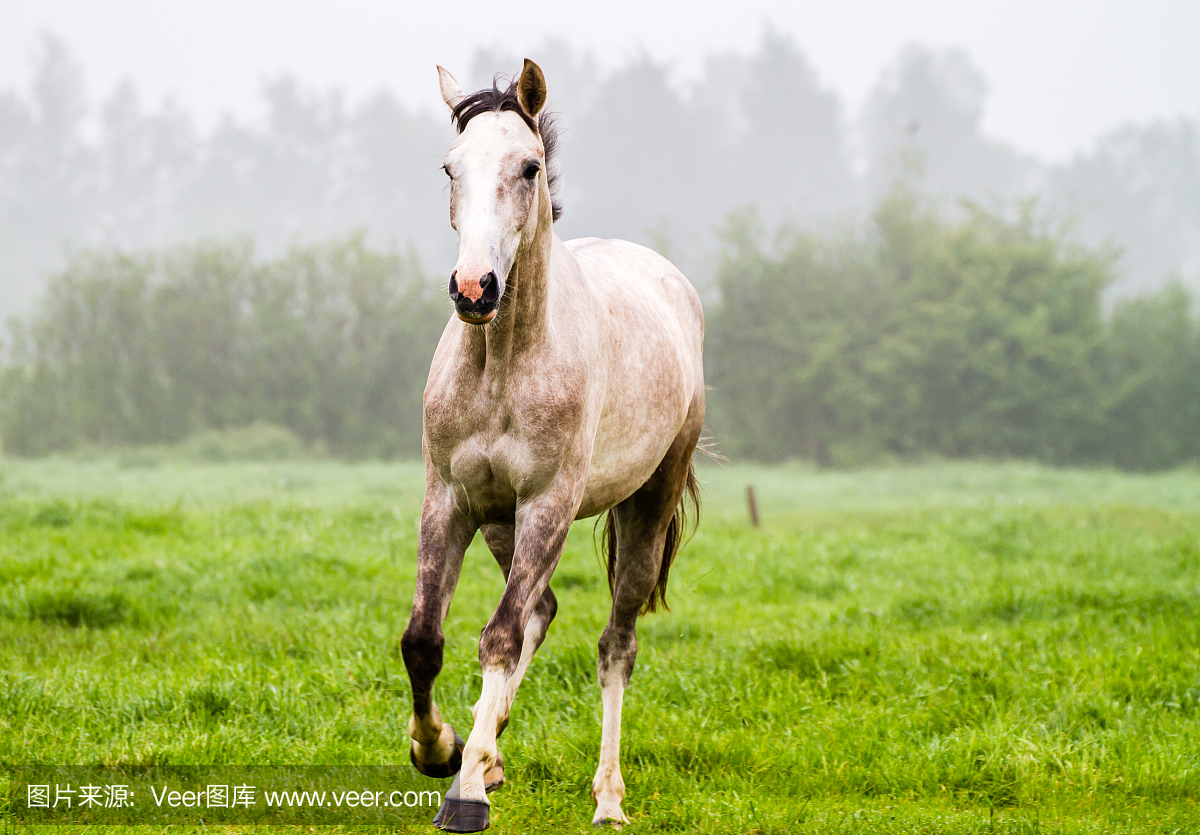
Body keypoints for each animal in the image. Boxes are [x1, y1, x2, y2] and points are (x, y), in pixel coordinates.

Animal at [398, 56, 705, 830]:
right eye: (449, 167)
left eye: (529, 166)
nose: (474, 288)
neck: (503, 361)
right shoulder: (450, 500)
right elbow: (425, 640)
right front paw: (441, 749)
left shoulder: (548, 505)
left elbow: (499, 636)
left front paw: (465, 793)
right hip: (500, 522)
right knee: (541, 612)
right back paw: (489, 749)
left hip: (645, 505)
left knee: (614, 642)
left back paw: (607, 796)